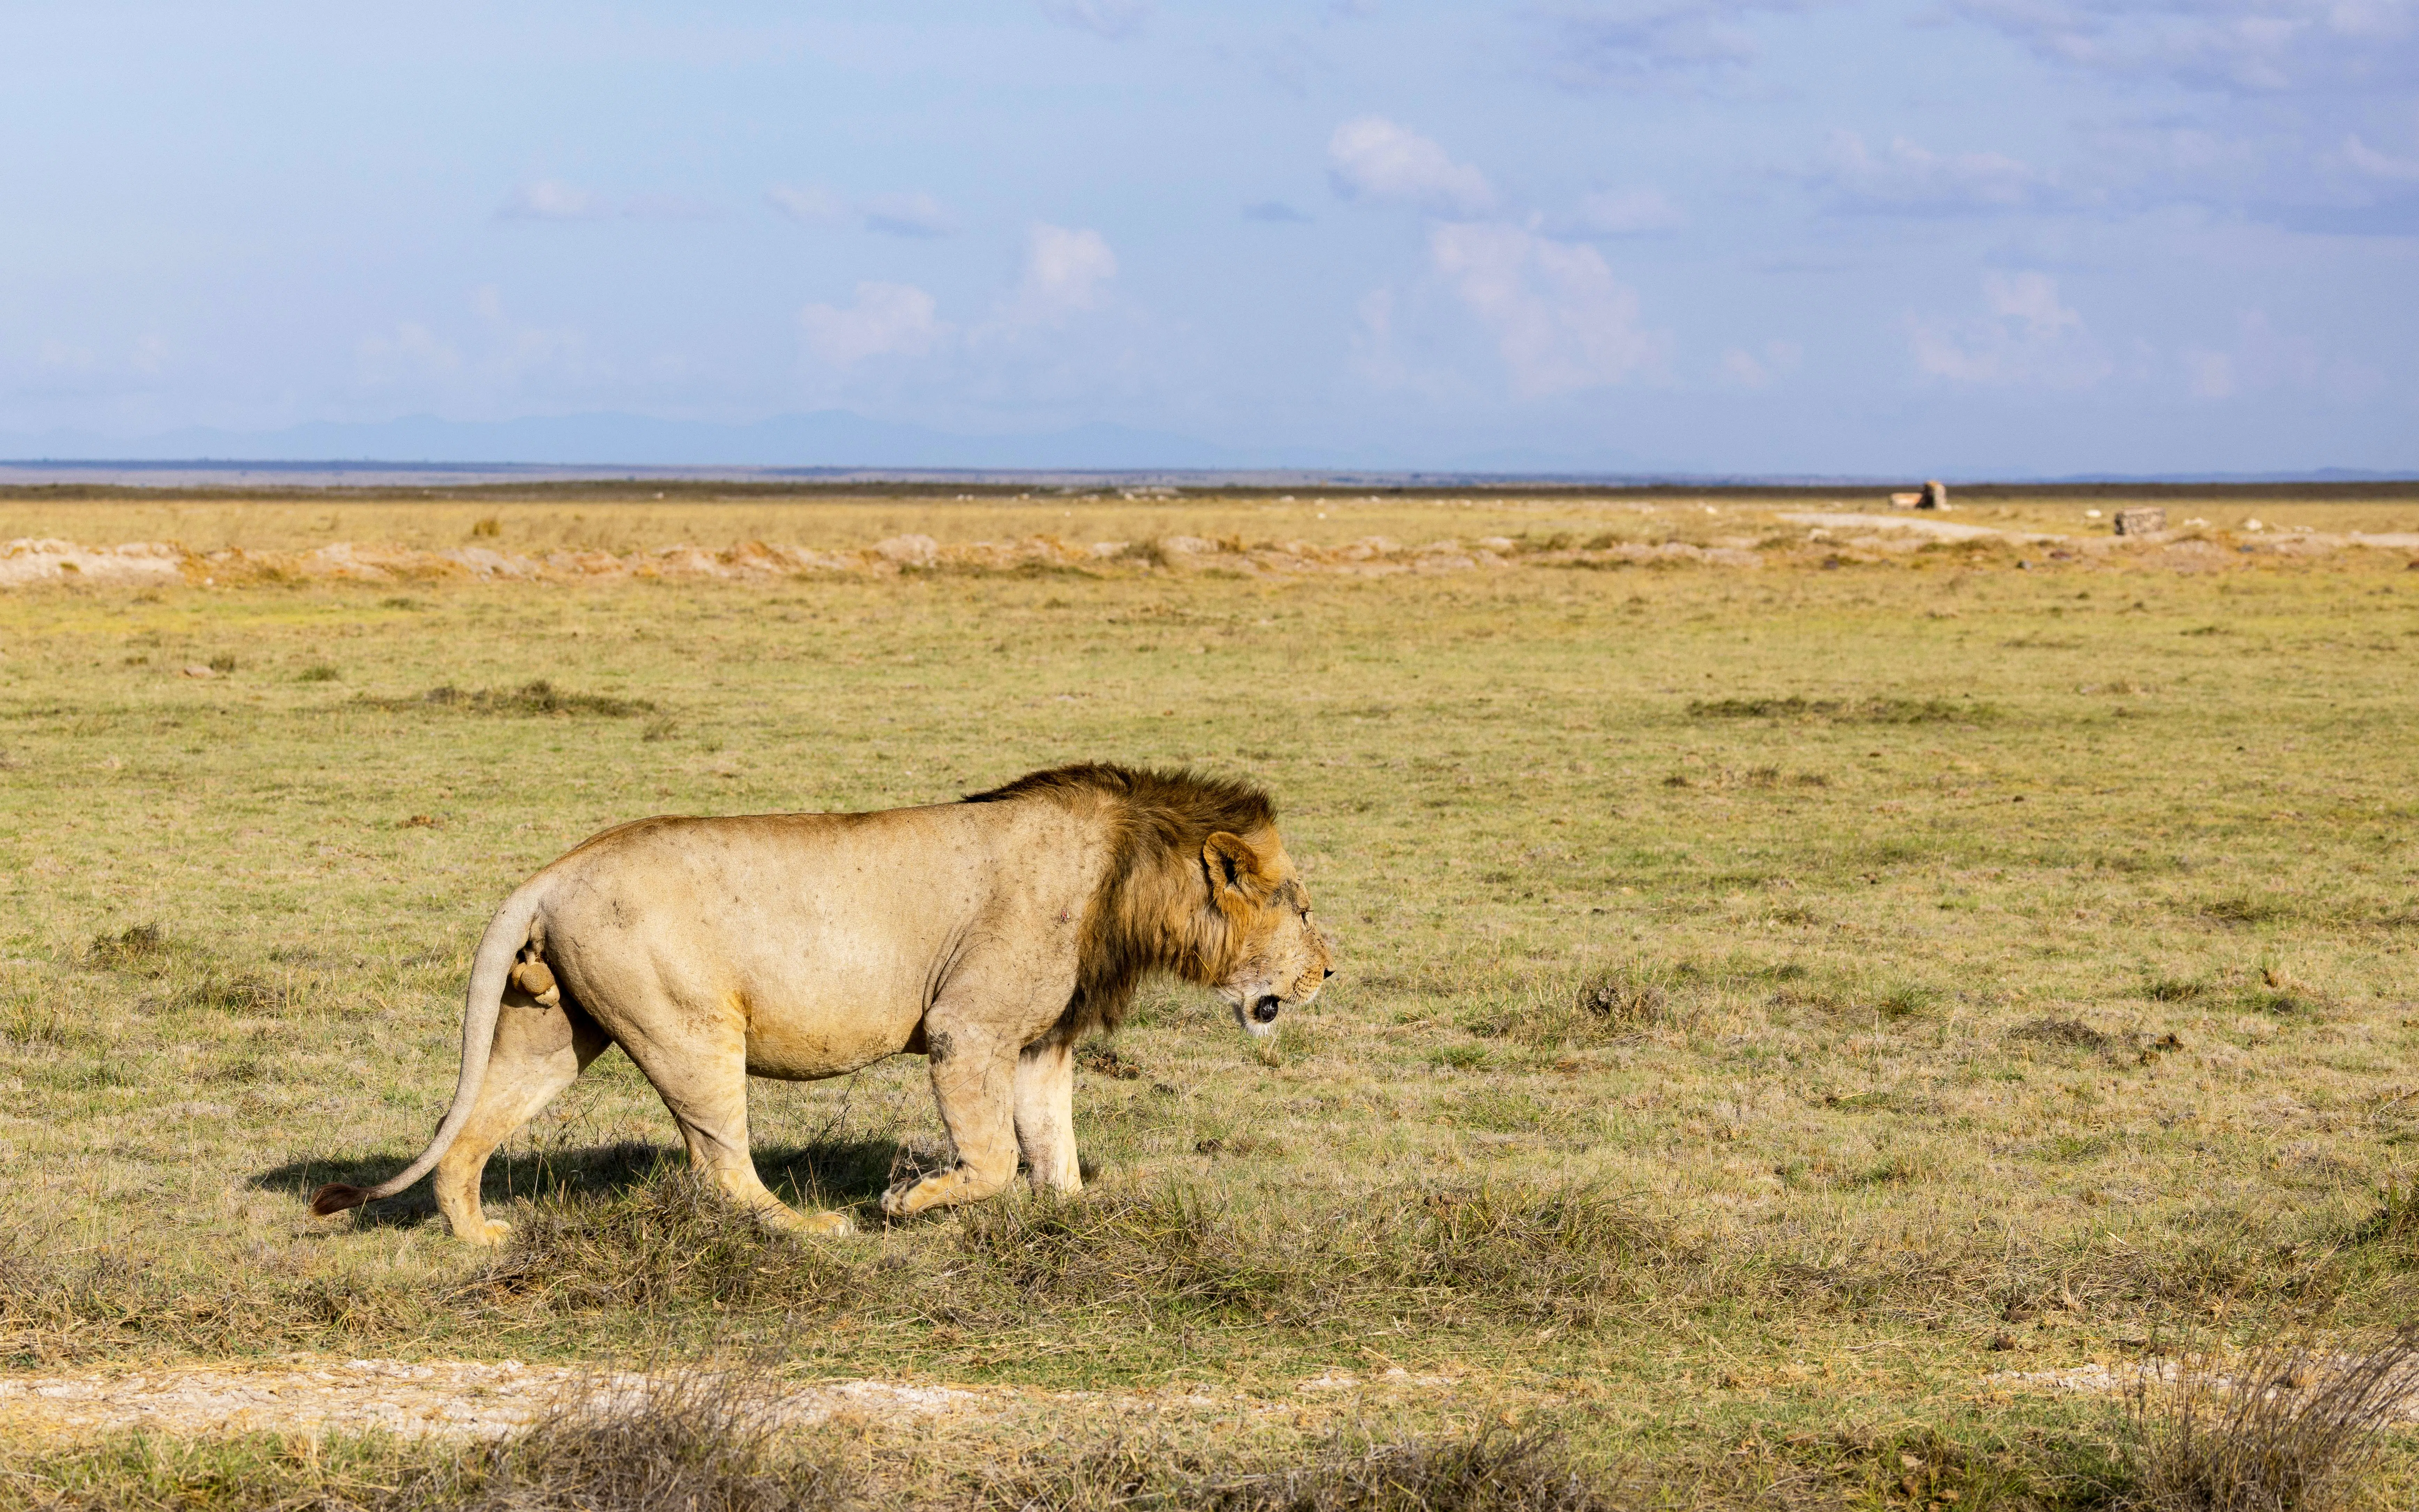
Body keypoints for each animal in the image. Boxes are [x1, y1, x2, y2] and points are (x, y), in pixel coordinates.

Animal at [310, 763, 1332, 1241]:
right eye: (1302, 905)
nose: (1326, 972)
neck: (1130, 878)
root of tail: (550, 872)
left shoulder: (1042, 1041)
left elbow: (1054, 1148)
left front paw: (1075, 1217)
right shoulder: (968, 1029)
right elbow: (994, 1157)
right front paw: (912, 1201)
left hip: (556, 1029)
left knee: (472, 1129)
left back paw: (478, 1236)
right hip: (691, 1031)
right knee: (721, 1164)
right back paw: (813, 1228)